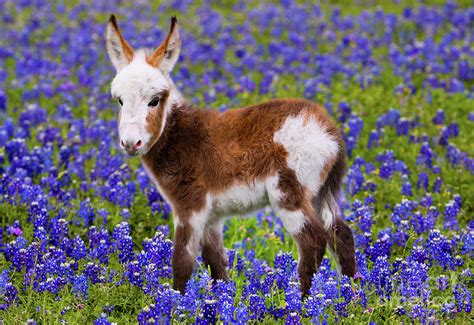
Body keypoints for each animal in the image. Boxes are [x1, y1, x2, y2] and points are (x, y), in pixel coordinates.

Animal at [106, 14, 356, 294]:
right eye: (120, 101)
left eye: (154, 100)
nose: (130, 143)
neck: (177, 133)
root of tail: (328, 129)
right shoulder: (212, 216)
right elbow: (215, 263)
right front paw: (219, 299)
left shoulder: (190, 206)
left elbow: (182, 261)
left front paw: (176, 300)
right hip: (318, 194)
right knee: (341, 235)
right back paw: (354, 296)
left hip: (289, 192)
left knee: (313, 242)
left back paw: (303, 301)